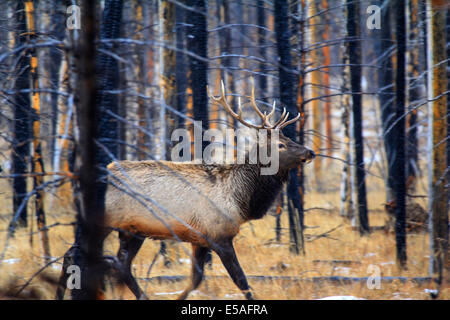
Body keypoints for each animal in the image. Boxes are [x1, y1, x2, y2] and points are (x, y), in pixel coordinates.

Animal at [56, 82, 314, 300]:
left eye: (289, 138)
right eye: (281, 145)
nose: (310, 152)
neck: (240, 200)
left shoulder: (200, 238)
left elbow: (195, 280)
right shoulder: (219, 235)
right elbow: (241, 280)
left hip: (132, 230)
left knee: (121, 264)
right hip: (104, 221)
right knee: (73, 254)